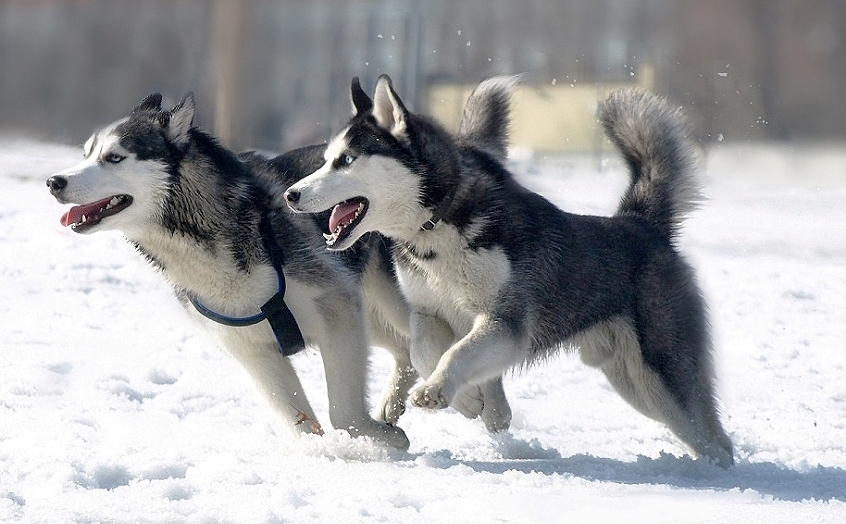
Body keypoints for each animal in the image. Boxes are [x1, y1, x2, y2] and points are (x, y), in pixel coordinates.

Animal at [45, 92, 410, 448]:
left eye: (115, 157)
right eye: (86, 154)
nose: (54, 181)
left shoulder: (337, 310)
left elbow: (343, 414)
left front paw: (381, 438)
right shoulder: (251, 349)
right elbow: (299, 421)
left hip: (388, 303)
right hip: (371, 316)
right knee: (405, 349)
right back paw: (395, 401)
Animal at [284, 74, 736, 466]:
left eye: (346, 160)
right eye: (324, 160)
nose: (290, 194)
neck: (437, 225)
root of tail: (641, 224)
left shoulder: (505, 320)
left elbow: (458, 351)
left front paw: (444, 393)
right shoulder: (427, 312)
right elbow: (425, 351)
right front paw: (471, 402)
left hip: (662, 374)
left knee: (712, 436)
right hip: (629, 379)